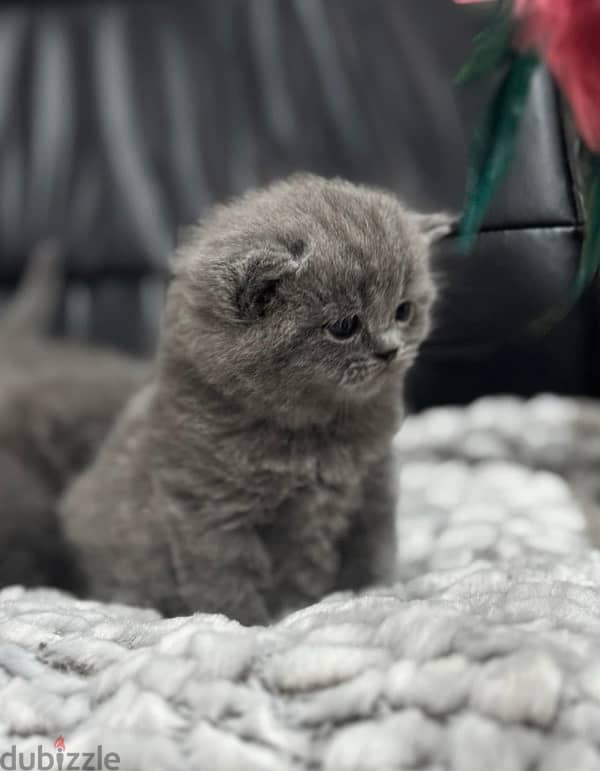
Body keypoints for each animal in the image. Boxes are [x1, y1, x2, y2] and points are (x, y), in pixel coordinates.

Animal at [59, 176, 450, 628]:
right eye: (344, 326)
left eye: (404, 311)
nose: (390, 350)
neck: (317, 433)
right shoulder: (211, 514)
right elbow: (228, 582)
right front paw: (251, 624)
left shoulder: (372, 489)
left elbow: (371, 553)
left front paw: (374, 592)